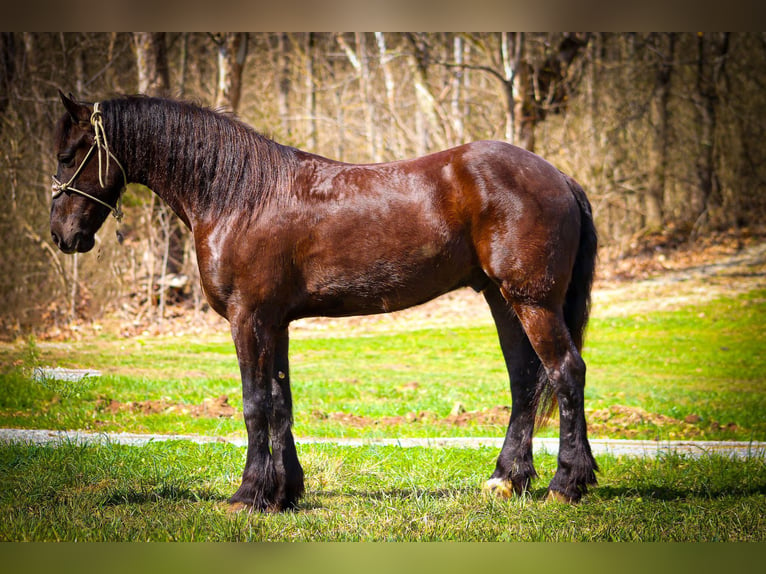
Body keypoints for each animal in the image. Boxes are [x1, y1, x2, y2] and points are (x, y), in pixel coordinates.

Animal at [49, 93, 600, 512]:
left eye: (71, 153)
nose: (62, 234)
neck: (239, 195)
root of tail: (560, 178)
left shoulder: (248, 319)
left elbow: (254, 404)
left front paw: (247, 496)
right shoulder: (275, 324)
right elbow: (281, 404)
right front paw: (283, 494)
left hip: (532, 301)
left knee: (566, 371)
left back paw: (565, 485)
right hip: (501, 299)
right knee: (526, 380)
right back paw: (508, 479)